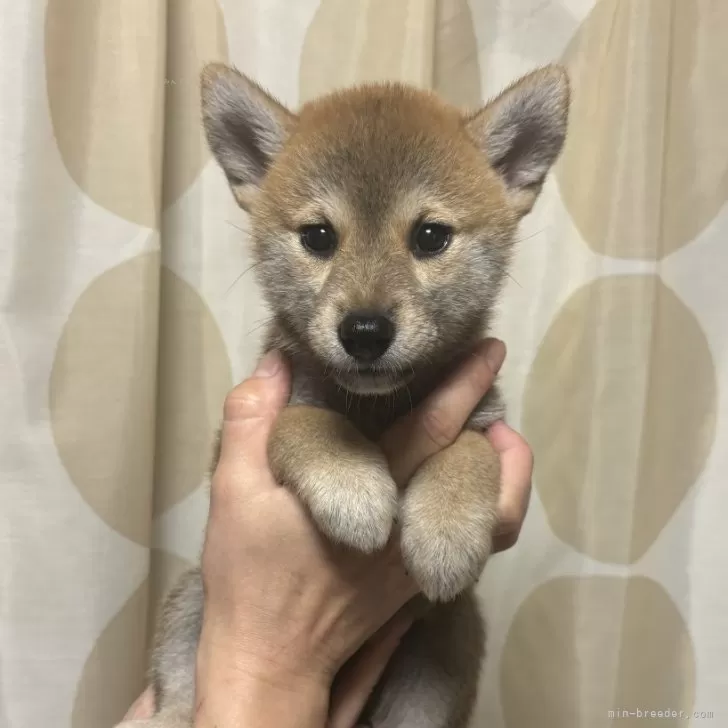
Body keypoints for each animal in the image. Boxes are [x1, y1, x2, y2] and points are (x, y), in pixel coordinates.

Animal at [123, 64, 568, 728]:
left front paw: (446, 530)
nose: (364, 331)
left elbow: (469, 453)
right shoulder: (253, 422)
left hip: (444, 648)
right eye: (318, 236)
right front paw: (353, 488)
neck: (377, 408)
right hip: (190, 602)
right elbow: (305, 425)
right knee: (177, 685)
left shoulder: (484, 418)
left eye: (431, 236)